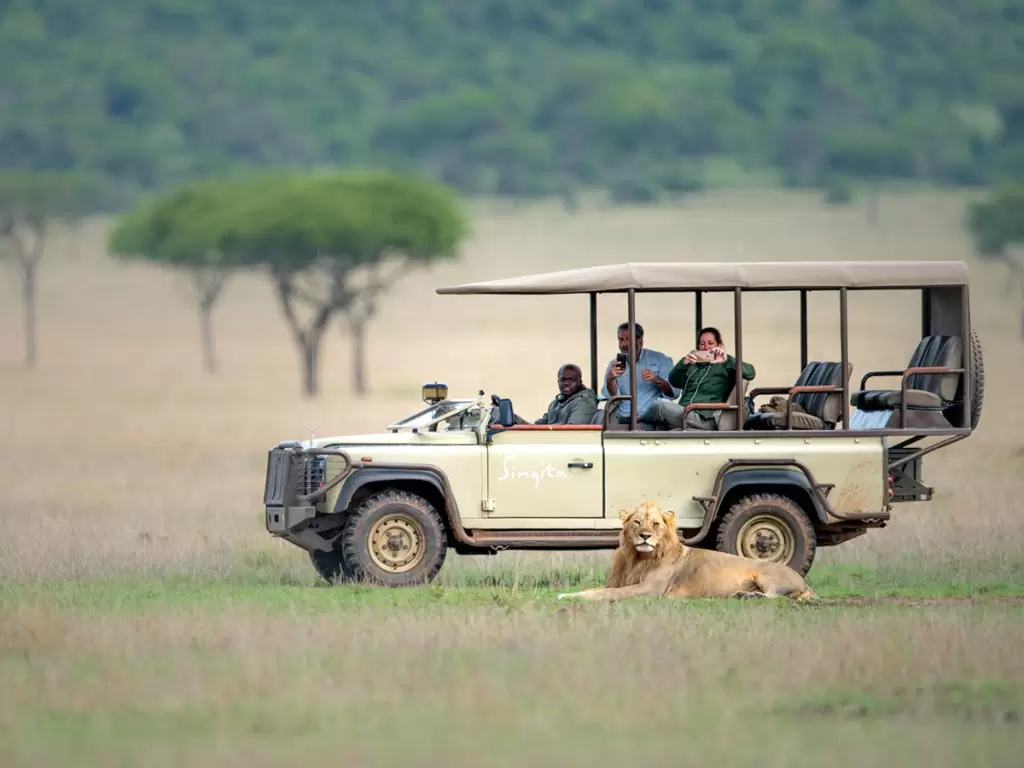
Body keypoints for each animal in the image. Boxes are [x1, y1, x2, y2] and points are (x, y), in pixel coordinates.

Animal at [556, 500, 817, 602]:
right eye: (637, 522)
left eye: (655, 524)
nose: (644, 536)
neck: (638, 558)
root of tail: (804, 582)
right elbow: (594, 590)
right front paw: (566, 594)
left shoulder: (649, 590)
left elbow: (607, 594)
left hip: (764, 574)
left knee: (774, 596)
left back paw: (746, 595)